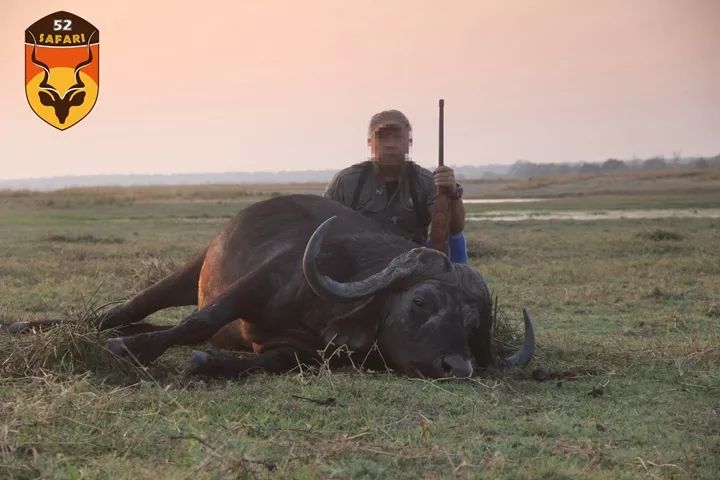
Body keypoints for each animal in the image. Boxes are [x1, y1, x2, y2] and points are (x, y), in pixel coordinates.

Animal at [101, 195, 536, 378]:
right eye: (420, 301)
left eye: (471, 323)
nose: (458, 367)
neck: (325, 311)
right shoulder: (258, 283)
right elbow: (198, 322)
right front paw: (127, 349)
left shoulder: (294, 350)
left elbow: (271, 362)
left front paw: (210, 362)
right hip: (193, 268)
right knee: (142, 304)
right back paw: (100, 325)